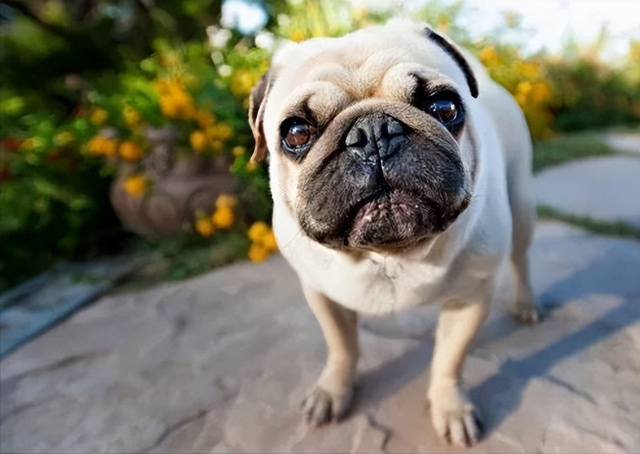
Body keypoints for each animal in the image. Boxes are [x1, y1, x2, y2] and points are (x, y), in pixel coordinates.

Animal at [248, 18, 536, 446]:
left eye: (445, 107)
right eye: (296, 133)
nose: (373, 132)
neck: (389, 254)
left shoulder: (469, 300)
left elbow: (449, 361)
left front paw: (450, 408)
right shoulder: (321, 295)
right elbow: (342, 347)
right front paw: (333, 391)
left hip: (521, 205)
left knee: (521, 258)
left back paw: (527, 303)